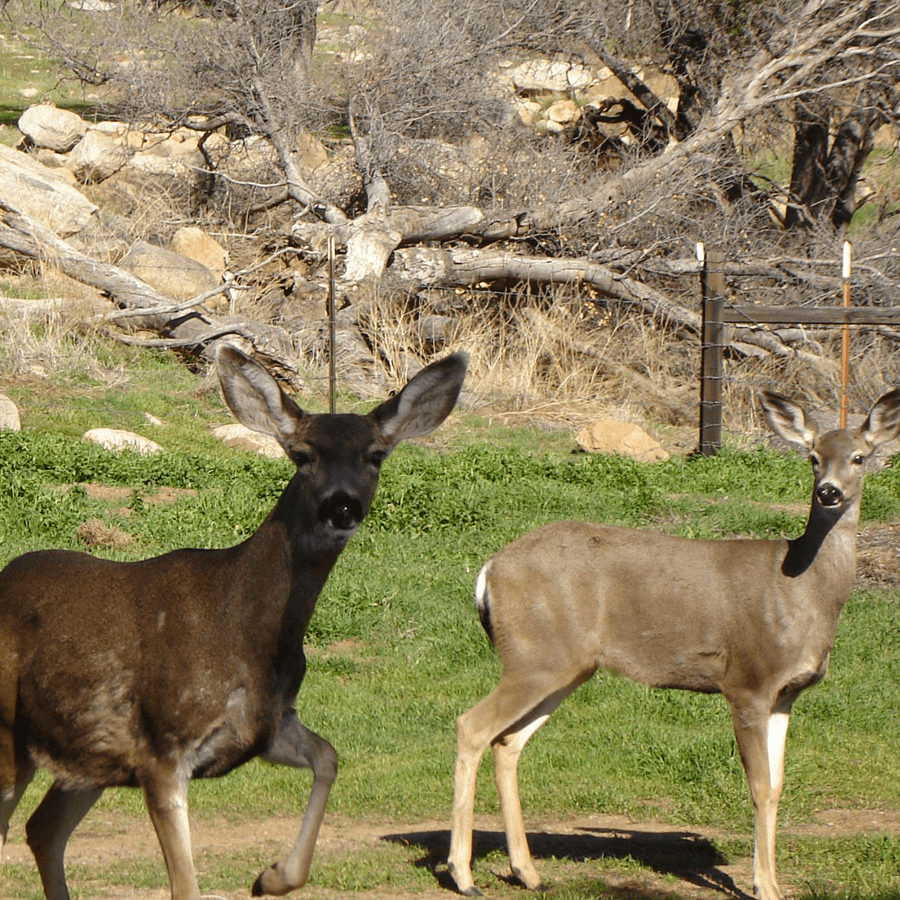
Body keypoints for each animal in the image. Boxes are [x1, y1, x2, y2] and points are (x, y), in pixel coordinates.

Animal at [0, 343, 467, 900]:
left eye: (375, 455)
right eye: (302, 455)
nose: (342, 506)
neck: (246, 633)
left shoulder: (265, 726)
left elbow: (329, 756)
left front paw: (272, 876)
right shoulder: (162, 749)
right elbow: (185, 886)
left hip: (89, 757)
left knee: (43, 828)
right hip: (8, 732)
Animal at [447, 387, 900, 900]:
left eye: (860, 457)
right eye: (813, 458)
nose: (829, 492)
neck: (801, 591)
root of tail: (489, 570)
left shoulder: (786, 694)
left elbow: (778, 786)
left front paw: (773, 883)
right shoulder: (747, 682)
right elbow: (759, 787)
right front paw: (764, 886)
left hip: (566, 665)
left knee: (507, 742)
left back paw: (527, 872)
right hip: (534, 656)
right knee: (472, 726)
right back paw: (463, 875)